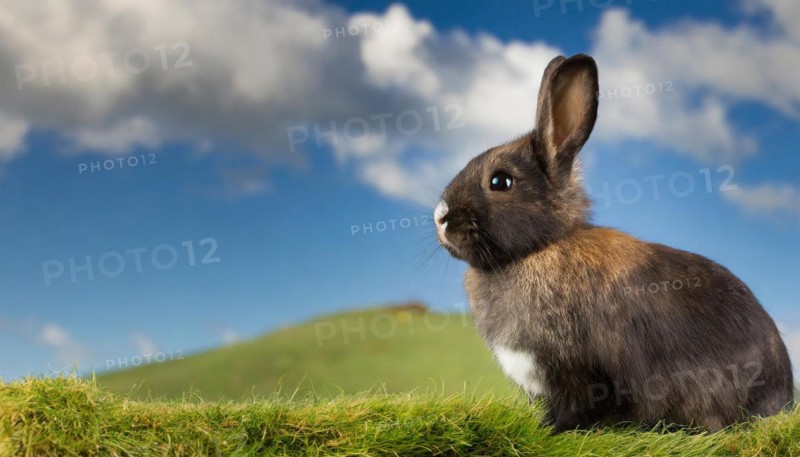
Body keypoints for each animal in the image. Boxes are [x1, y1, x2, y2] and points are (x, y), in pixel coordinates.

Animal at [434, 54, 793, 432]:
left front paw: (553, 430)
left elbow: (576, 408)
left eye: (500, 181)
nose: (440, 217)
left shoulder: (578, 373)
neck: (539, 249)